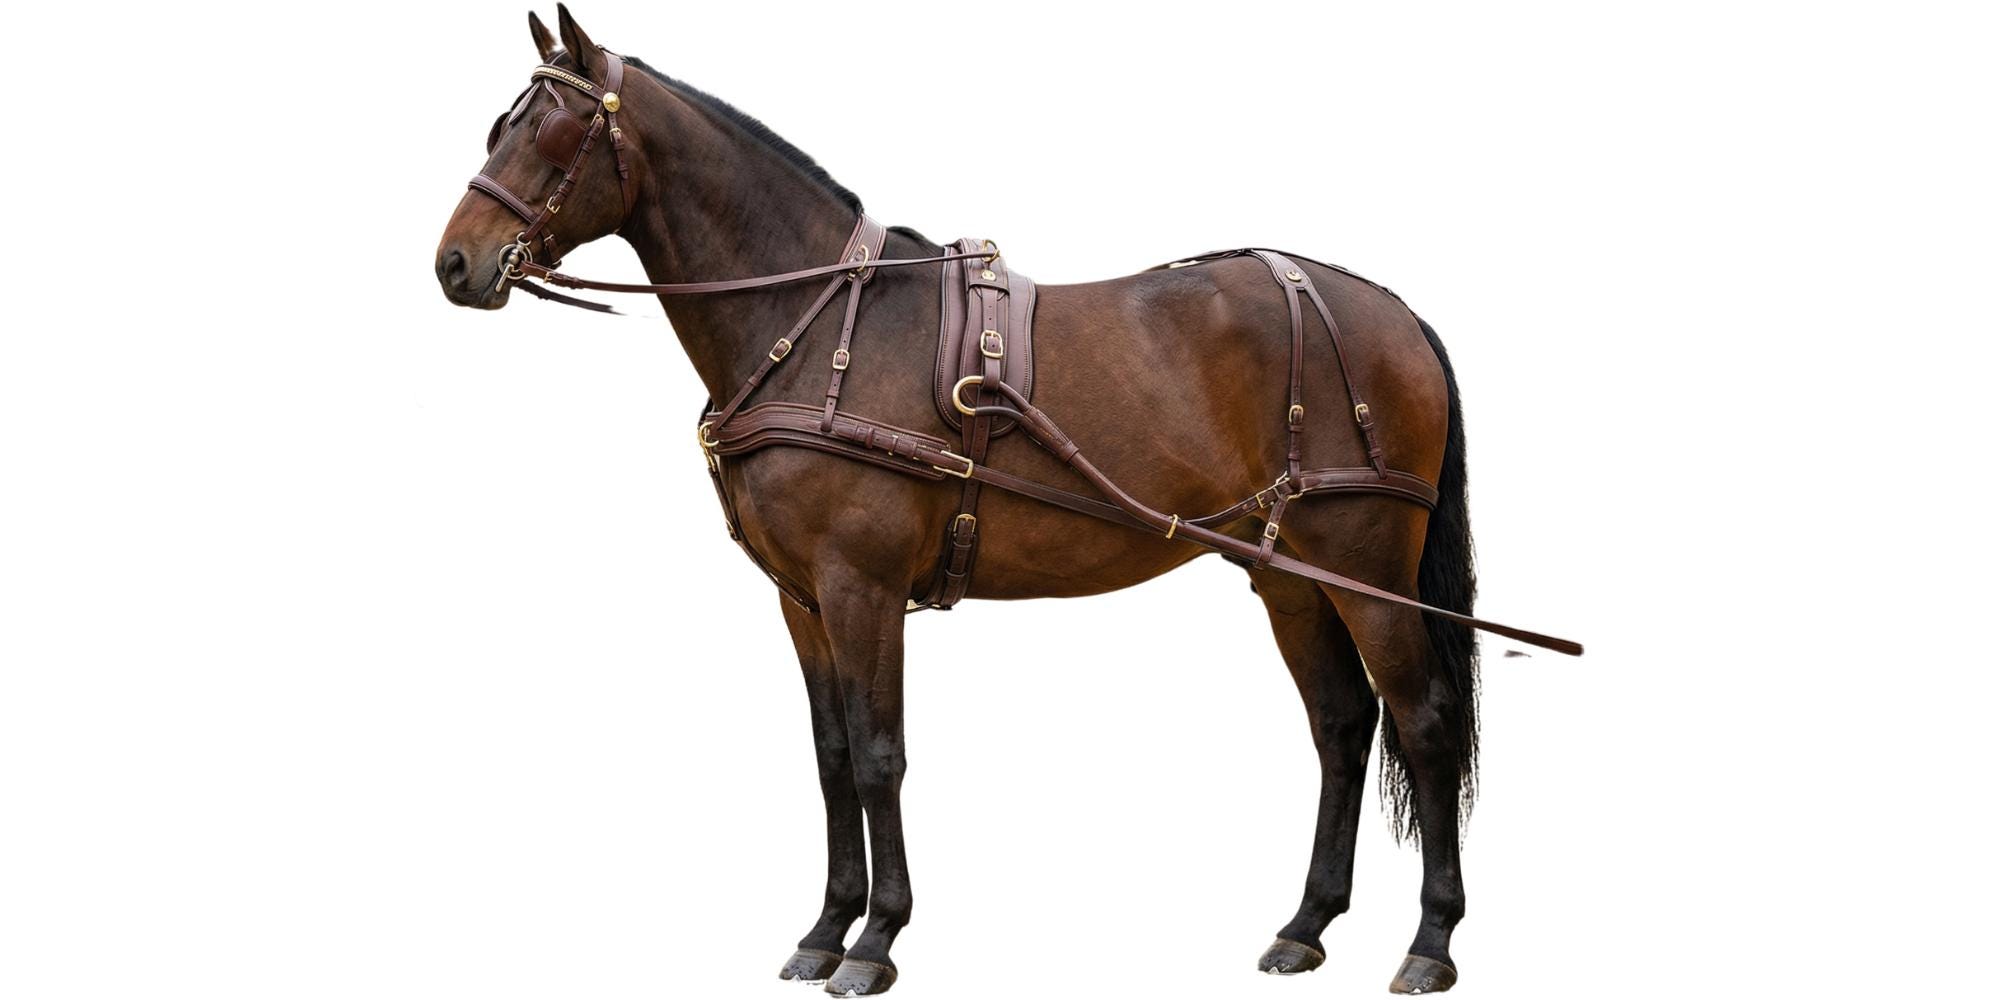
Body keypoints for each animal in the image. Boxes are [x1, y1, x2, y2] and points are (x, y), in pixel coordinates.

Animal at [434, 7, 1579, 995]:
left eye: (558, 129)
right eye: (501, 125)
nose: (454, 263)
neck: (819, 321)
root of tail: (1383, 309)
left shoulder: (861, 587)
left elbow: (880, 755)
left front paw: (876, 940)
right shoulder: (802, 600)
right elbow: (831, 758)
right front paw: (825, 928)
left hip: (1365, 563)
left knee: (1422, 722)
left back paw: (1430, 941)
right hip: (1288, 573)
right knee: (1341, 725)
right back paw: (1304, 926)